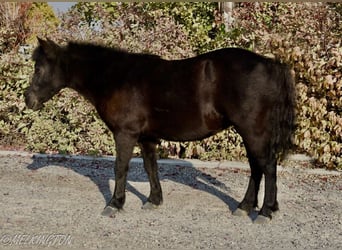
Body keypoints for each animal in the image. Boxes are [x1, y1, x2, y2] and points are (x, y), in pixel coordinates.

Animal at [25, 38, 296, 223]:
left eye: (39, 69)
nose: (28, 100)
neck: (116, 77)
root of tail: (270, 64)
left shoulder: (125, 134)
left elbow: (120, 168)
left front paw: (115, 203)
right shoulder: (147, 138)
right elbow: (150, 168)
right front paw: (154, 200)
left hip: (253, 131)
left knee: (268, 167)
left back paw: (265, 211)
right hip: (250, 132)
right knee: (256, 167)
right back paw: (245, 206)